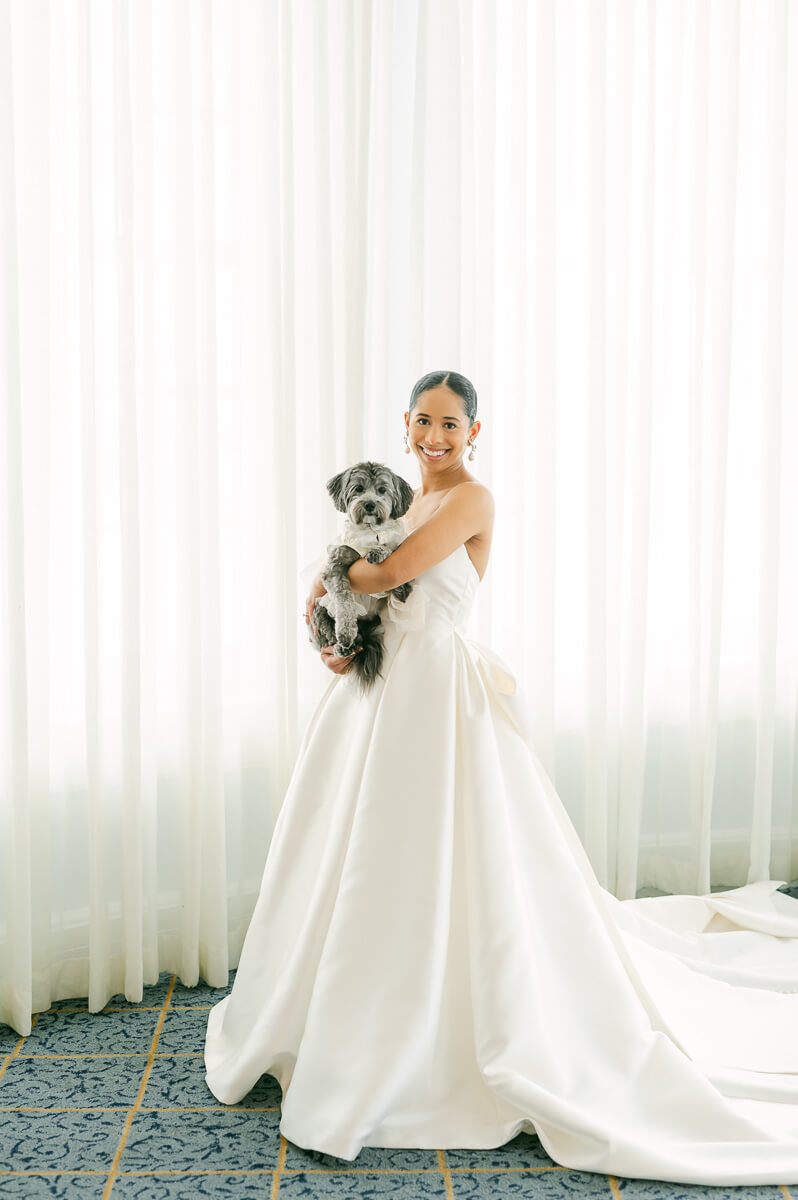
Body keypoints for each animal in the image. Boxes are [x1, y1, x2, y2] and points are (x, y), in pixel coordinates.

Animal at [306, 463, 412, 700]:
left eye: (382, 490)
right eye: (358, 489)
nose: (370, 504)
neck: (371, 532)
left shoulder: (399, 544)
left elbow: (391, 547)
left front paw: (380, 554)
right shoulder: (334, 566)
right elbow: (344, 603)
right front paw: (345, 634)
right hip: (318, 612)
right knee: (332, 633)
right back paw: (345, 646)